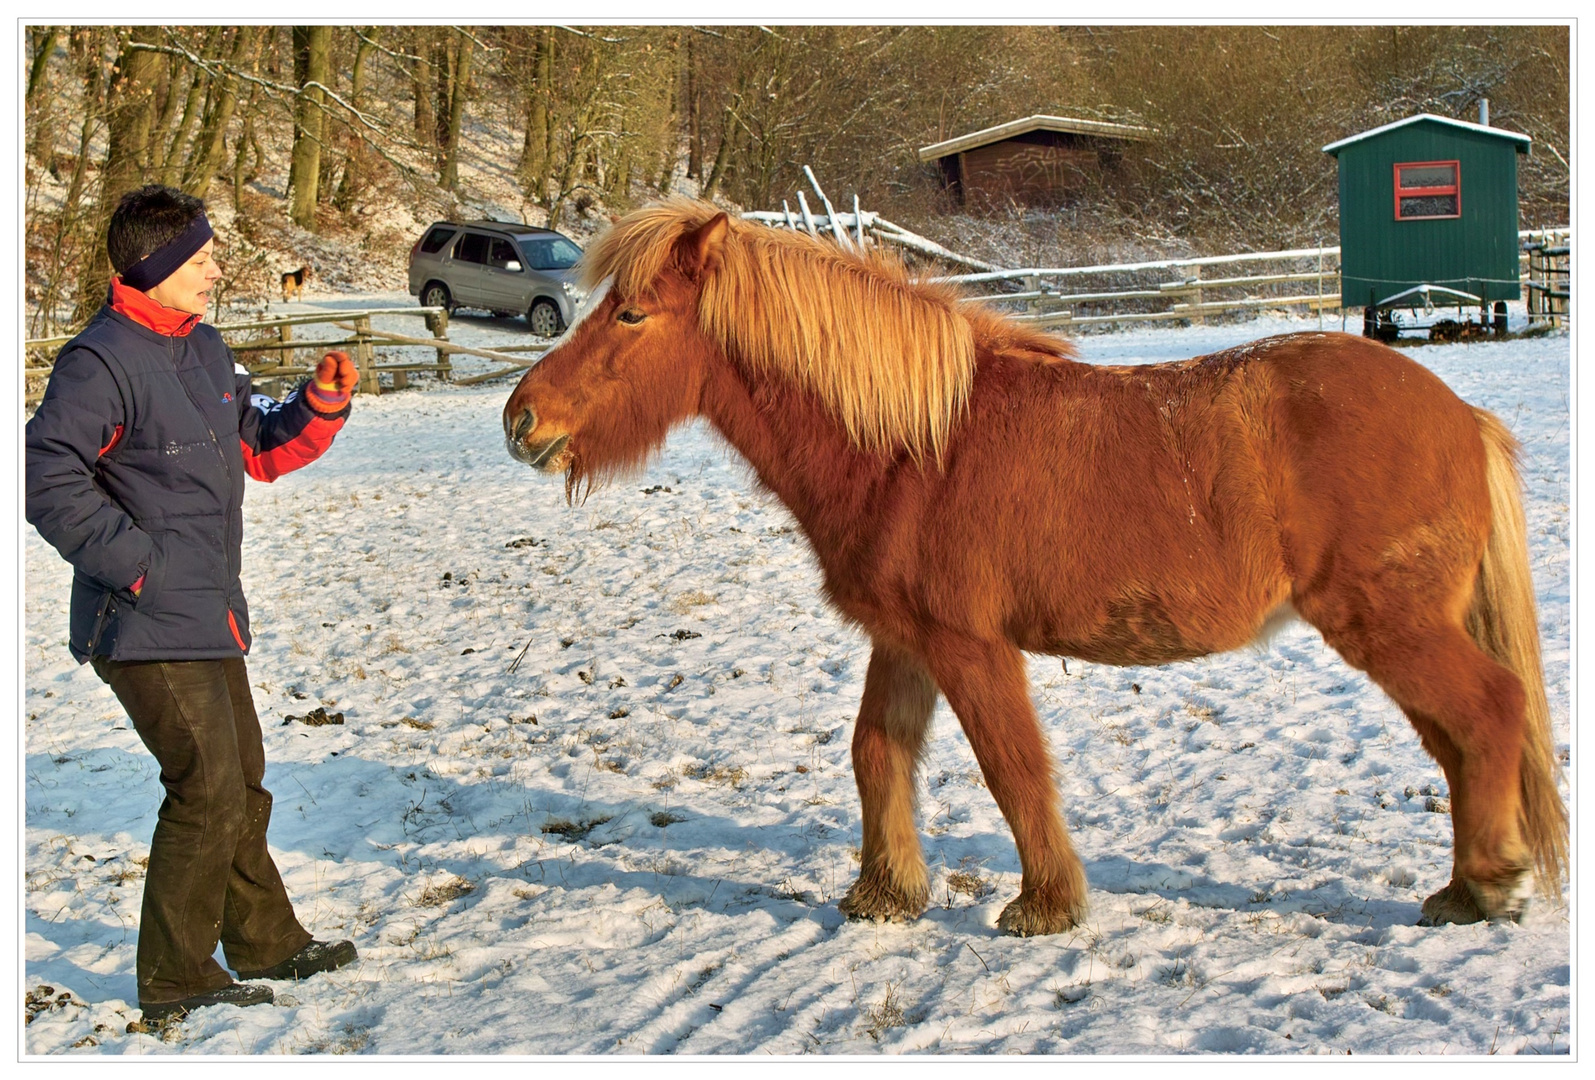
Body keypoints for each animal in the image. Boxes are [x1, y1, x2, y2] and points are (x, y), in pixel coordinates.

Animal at [504, 200, 1563, 938]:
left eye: (631, 316)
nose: (520, 420)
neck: (915, 449)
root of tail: (1458, 414)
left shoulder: (970, 647)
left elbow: (1012, 768)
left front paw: (1046, 905)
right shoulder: (907, 641)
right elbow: (877, 752)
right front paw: (884, 891)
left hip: (1390, 626)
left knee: (1490, 712)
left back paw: (1487, 886)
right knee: (1458, 742)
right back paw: (1465, 884)